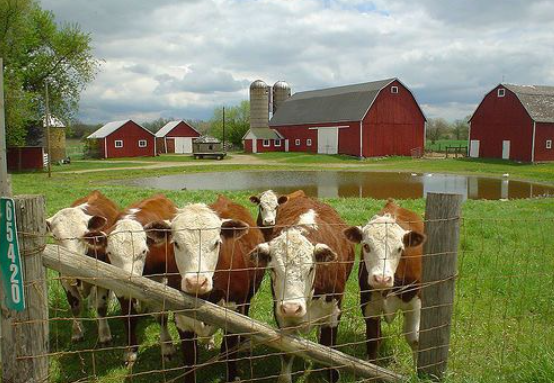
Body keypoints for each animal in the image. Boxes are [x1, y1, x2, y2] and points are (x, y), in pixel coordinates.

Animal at [45, 191, 119, 344]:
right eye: (55, 236)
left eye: (85, 235)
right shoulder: (65, 279)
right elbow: (75, 306)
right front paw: (77, 332)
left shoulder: (103, 278)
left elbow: (101, 307)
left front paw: (104, 335)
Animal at [84, 196, 179, 368]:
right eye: (110, 253)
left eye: (143, 251)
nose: (129, 284)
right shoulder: (120, 289)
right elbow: (128, 316)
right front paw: (130, 351)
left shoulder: (161, 278)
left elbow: (161, 315)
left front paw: (167, 348)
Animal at [146, 196, 264, 382]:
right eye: (176, 243)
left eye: (216, 243)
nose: (196, 282)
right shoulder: (182, 321)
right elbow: (190, 360)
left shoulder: (232, 314)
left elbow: (230, 356)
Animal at [248, 198, 352, 383]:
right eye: (273, 269)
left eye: (310, 268)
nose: (291, 308)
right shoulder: (282, 318)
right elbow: (288, 354)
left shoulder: (333, 314)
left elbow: (329, 351)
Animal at [340, 200, 426, 364]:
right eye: (366, 246)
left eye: (399, 249)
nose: (382, 279)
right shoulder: (369, 305)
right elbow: (373, 340)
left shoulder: (416, 302)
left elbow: (415, 339)